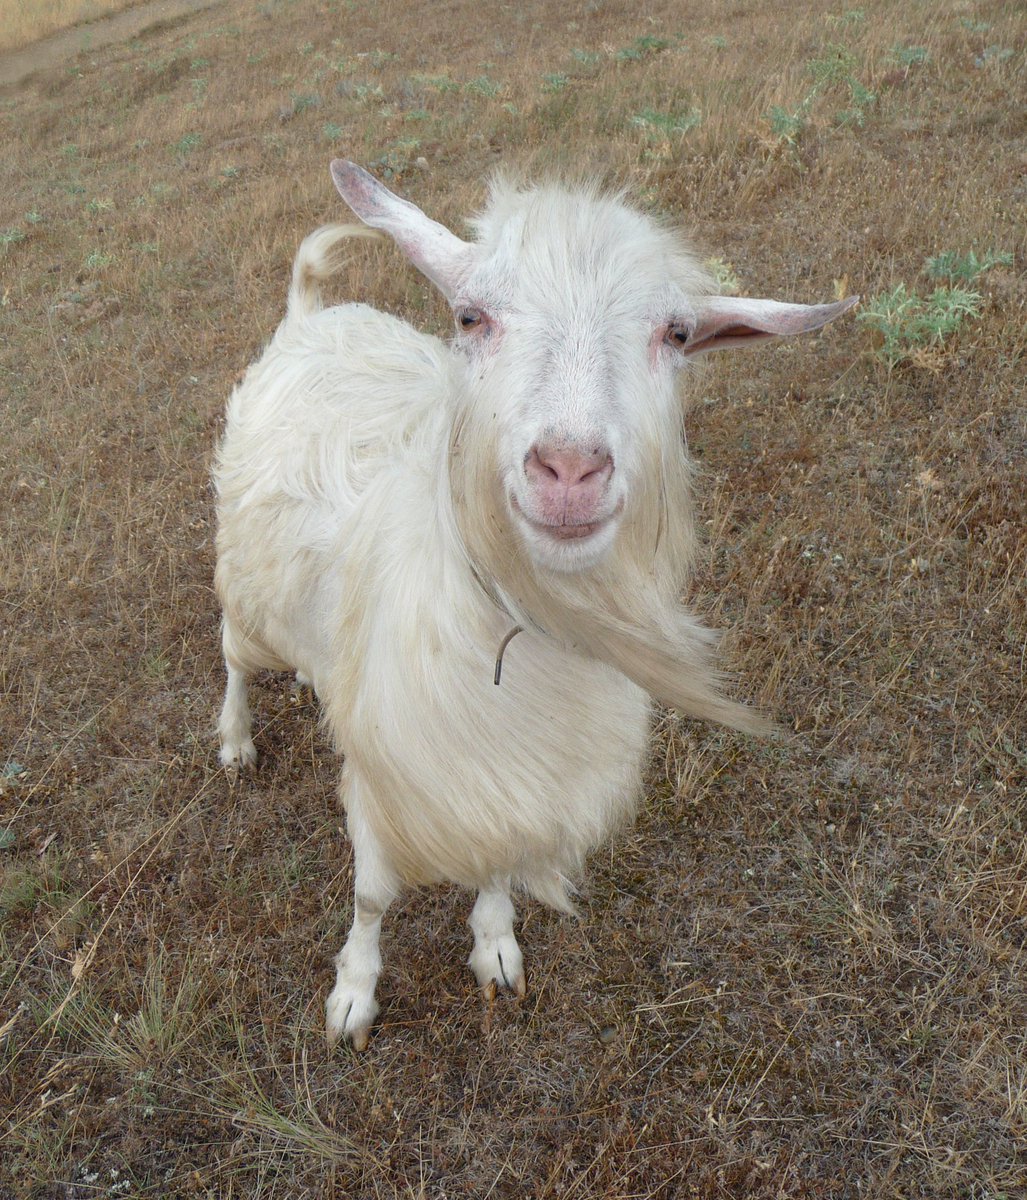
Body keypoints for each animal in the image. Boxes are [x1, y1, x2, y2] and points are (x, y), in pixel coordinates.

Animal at [211, 162, 859, 1051]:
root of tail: (313, 313)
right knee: (233, 654)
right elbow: (372, 896)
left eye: (676, 335)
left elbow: (496, 867)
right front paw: (353, 995)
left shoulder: (516, 780)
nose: (570, 468)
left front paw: (493, 946)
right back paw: (235, 741)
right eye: (469, 316)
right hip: (246, 593)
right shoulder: (385, 778)